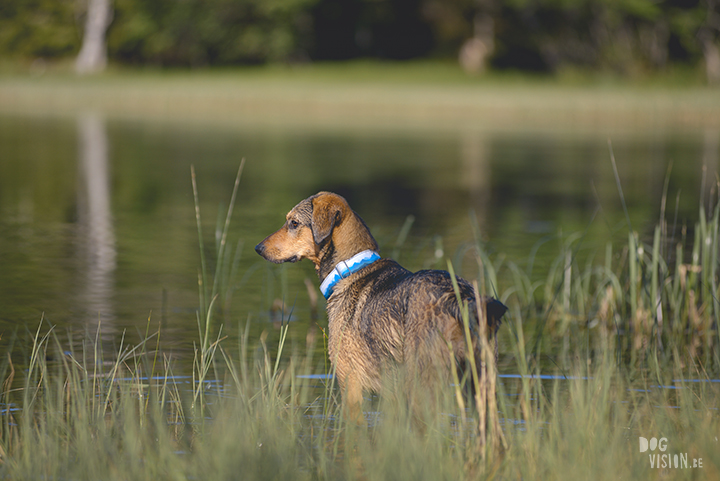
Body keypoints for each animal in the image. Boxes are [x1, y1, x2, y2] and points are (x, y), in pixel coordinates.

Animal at [256, 191, 510, 416]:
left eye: (294, 223)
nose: (258, 248)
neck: (349, 268)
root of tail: (458, 297)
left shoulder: (350, 383)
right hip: (481, 383)